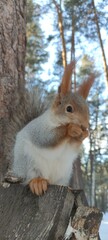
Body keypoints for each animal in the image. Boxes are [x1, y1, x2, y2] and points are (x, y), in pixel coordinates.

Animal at [6, 61, 94, 195]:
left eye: (88, 110)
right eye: (69, 109)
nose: (85, 125)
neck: (57, 121)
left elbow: (74, 146)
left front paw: (84, 134)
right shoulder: (39, 129)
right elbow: (47, 139)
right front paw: (71, 129)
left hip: (64, 171)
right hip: (30, 163)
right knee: (30, 178)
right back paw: (37, 183)